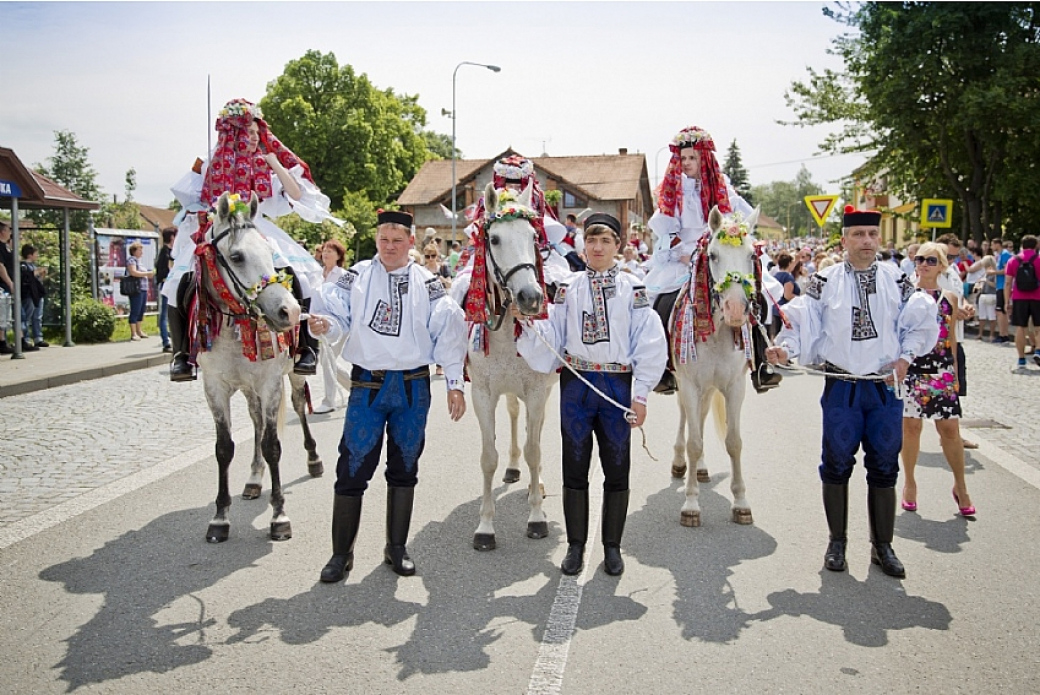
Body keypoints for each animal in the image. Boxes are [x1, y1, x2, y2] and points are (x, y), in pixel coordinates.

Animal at [194, 192, 320, 545]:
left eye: (268, 252)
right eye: (236, 256)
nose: (289, 311)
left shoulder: (270, 383)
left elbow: (272, 445)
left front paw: (279, 516)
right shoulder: (215, 388)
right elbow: (224, 448)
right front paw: (220, 517)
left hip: (291, 376)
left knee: (297, 407)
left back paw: (313, 460)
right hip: (248, 389)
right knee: (255, 420)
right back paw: (254, 477)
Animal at [453, 182, 557, 549]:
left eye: (533, 236)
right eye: (495, 239)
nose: (531, 297)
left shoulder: (537, 391)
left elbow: (535, 450)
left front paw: (537, 517)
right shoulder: (483, 394)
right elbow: (489, 457)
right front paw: (485, 526)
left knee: (533, 434)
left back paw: (537, 484)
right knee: (514, 417)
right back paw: (514, 469)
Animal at [669, 206, 761, 526]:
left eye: (752, 255)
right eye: (712, 255)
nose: (736, 309)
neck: (718, 331)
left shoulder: (735, 386)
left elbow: (734, 442)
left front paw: (742, 502)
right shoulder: (689, 384)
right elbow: (694, 441)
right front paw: (691, 505)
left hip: (709, 389)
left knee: (702, 415)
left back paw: (700, 468)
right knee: (687, 419)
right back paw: (681, 463)